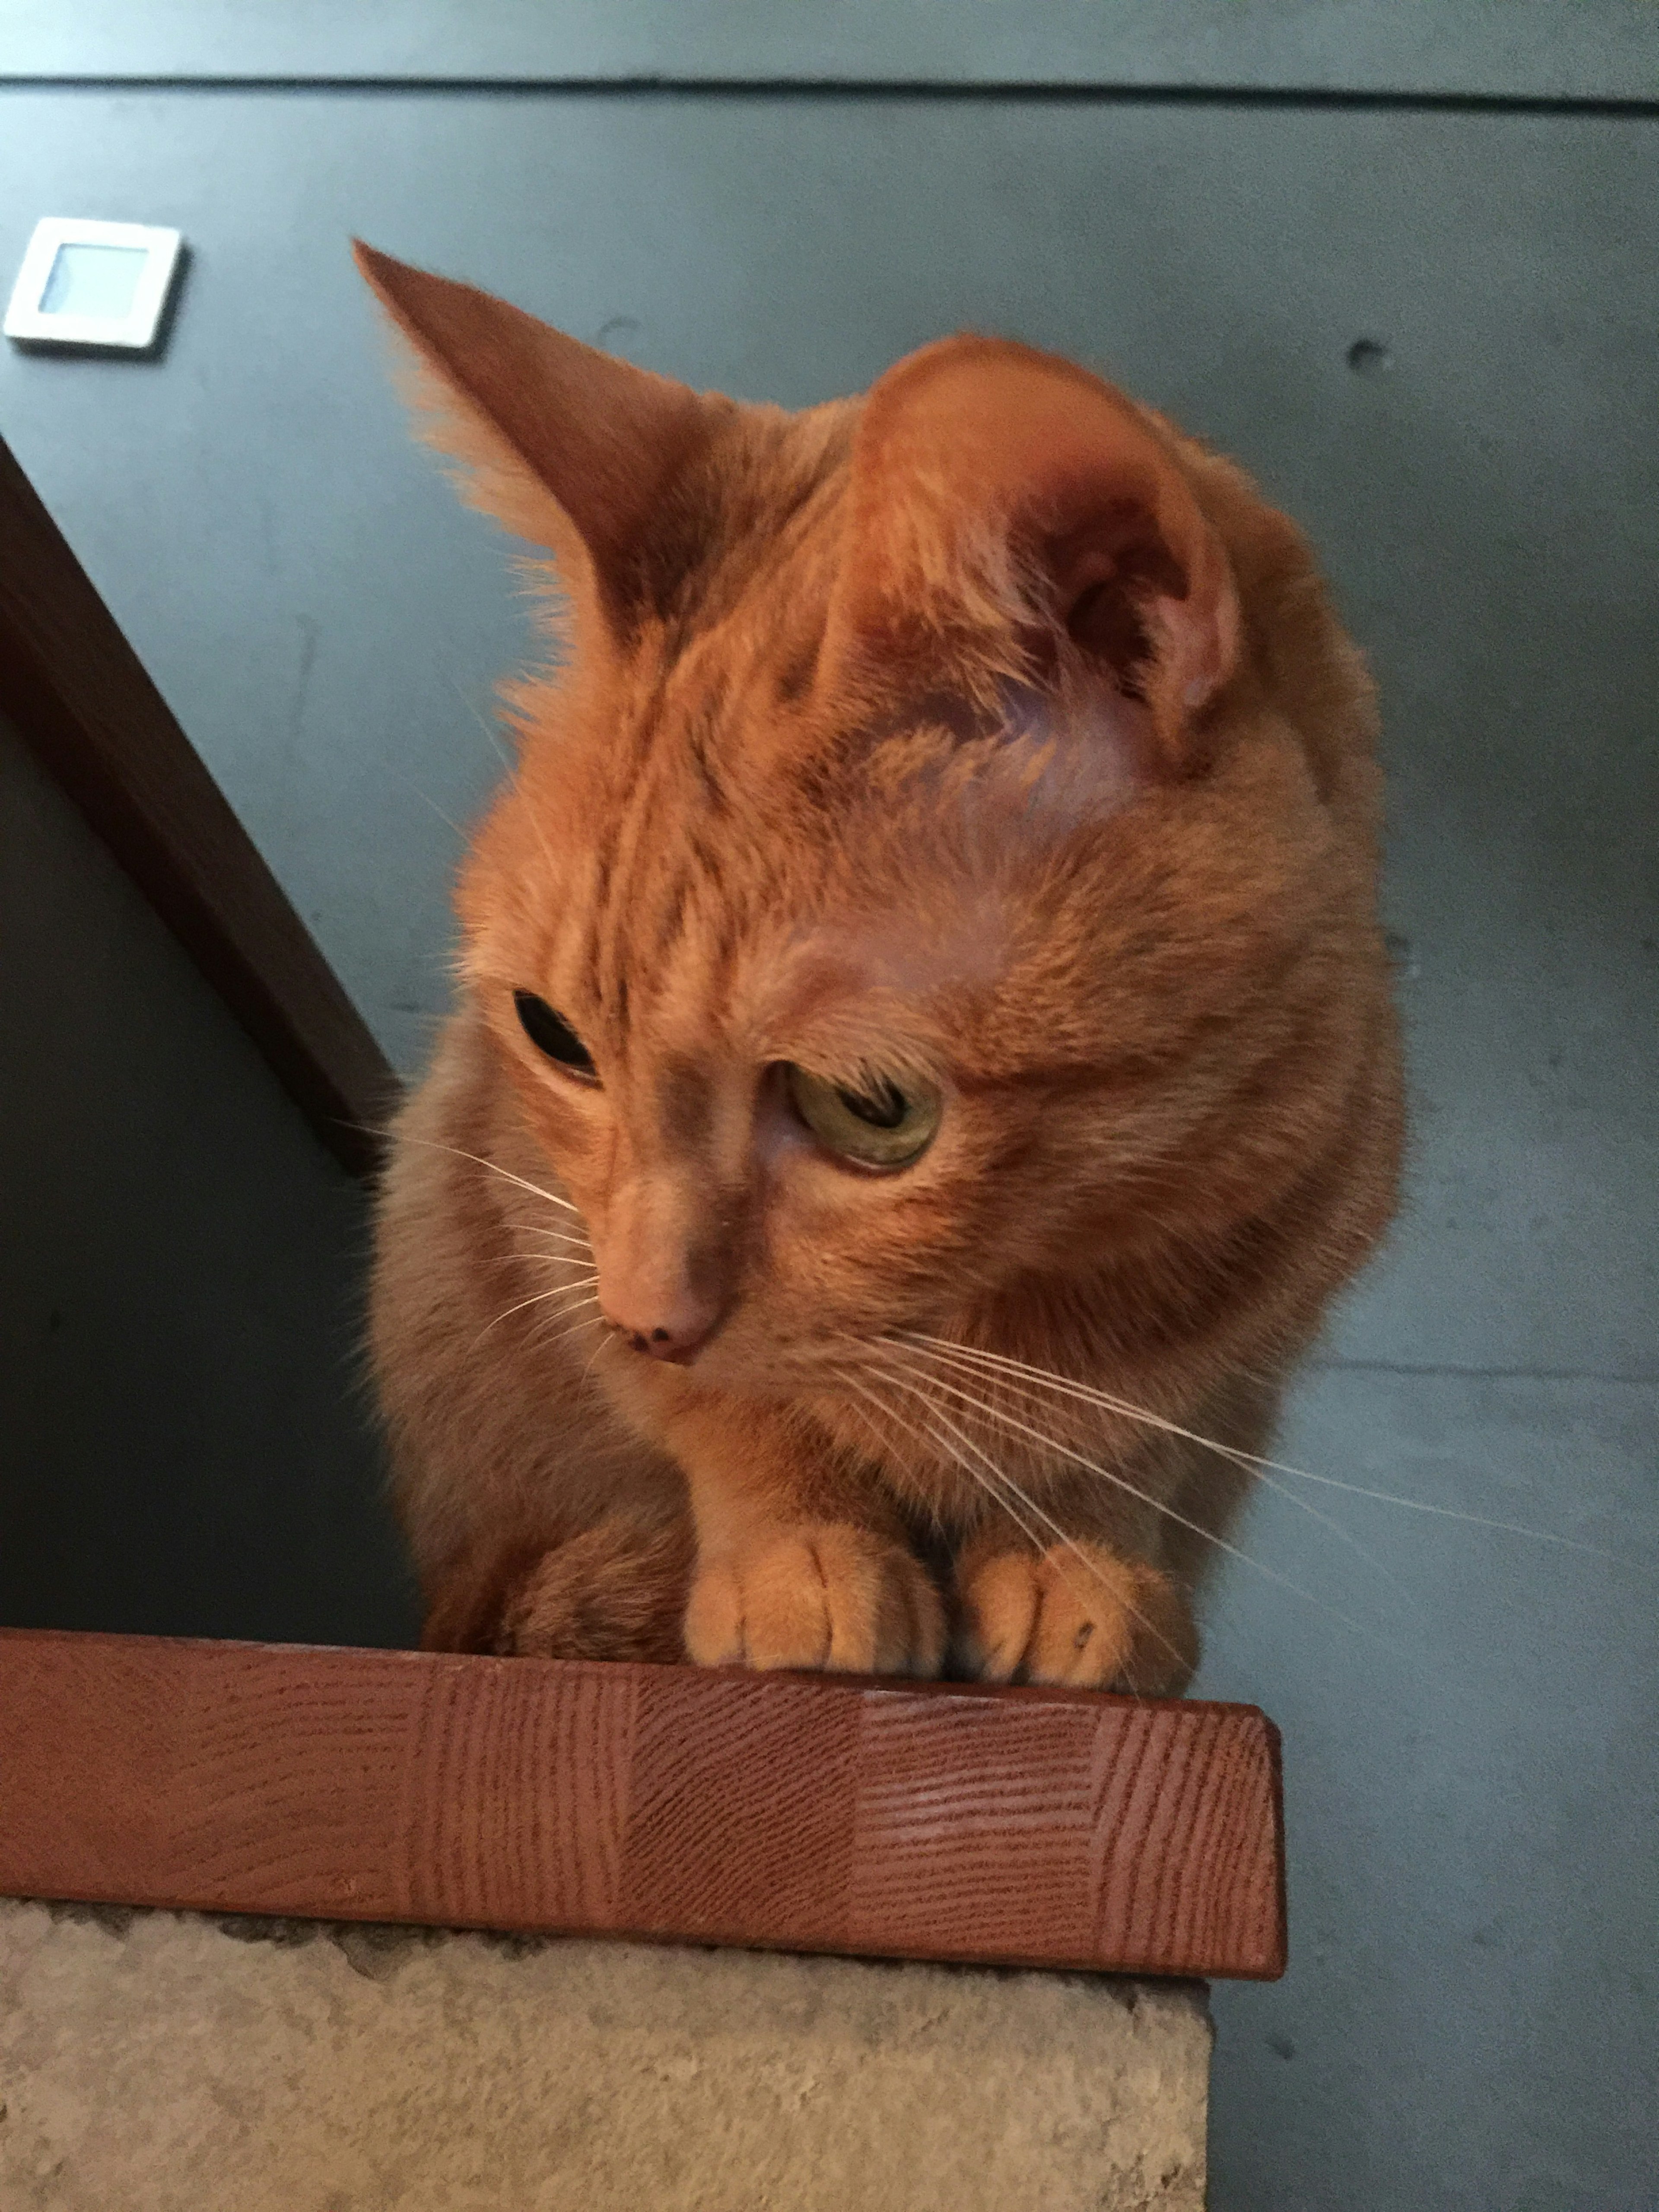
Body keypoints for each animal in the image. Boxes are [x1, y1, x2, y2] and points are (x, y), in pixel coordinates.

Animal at [360, 242, 1407, 1690]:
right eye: (556, 1037)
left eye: (870, 1108)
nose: (648, 1313)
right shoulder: (539, 1211)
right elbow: (726, 1410)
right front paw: (797, 1548)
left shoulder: (1235, 1358)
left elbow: (1129, 1439)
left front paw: (1076, 1549)